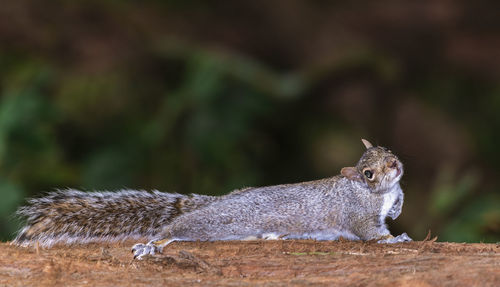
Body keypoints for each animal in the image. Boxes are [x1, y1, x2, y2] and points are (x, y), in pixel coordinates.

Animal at [12, 140, 410, 260]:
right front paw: (395, 239)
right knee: (175, 227)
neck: (376, 192)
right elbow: (372, 233)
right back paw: (154, 243)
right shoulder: (358, 215)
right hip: (210, 223)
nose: (396, 163)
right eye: (368, 173)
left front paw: (399, 207)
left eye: (386, 149)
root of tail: (213, 202)